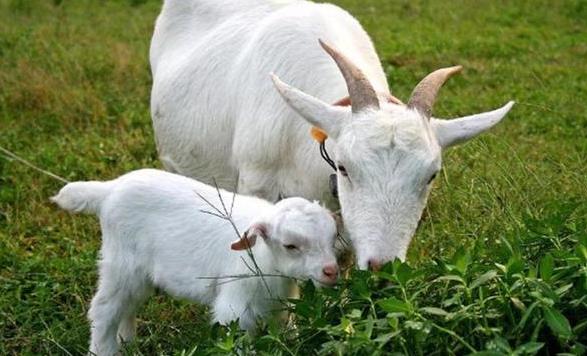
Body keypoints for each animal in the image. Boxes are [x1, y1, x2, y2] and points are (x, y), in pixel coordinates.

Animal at [51, 169, 340, 356]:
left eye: (333, 237)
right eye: (290, 246)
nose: (331, 271)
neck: (265, 260)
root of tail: (109, 190)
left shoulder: (278, 306)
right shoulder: (236, 308)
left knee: (126, 307)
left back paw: (127, 344)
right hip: (122, 263)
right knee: (104, 309)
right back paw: (105, 350)